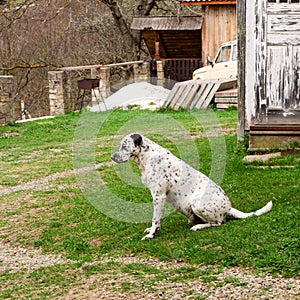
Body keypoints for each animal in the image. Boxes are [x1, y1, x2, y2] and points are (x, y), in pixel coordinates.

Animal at [111, 132, 274, 240]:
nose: (112, 157)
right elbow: (157, 220)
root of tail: (229, 208)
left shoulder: (158, 196)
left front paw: (152, 234)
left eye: (124, 146)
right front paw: (153, 230)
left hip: (197, 203)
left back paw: (197, 226)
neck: (146, 157)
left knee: (218, 223)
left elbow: (155, 218)